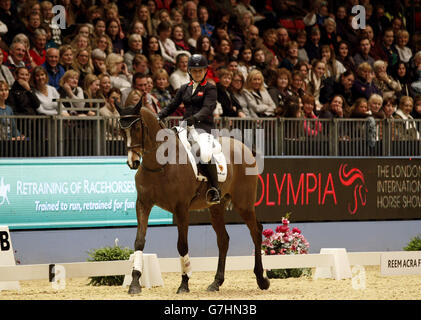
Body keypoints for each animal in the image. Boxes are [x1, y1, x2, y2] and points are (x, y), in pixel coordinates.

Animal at [116, 104, 268, 294]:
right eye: (121, 130)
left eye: (137, 127)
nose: (133, 162)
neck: (160, 164)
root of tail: (244, 147)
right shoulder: (143, 204)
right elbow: (139, 241)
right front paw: (135, 283)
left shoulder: (181, 208)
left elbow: (182, 245)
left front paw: (184, 283)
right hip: (216, 207)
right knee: (223, 239)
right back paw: (216, 282)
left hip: (244, 204)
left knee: (256, 231)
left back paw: (261, 279)